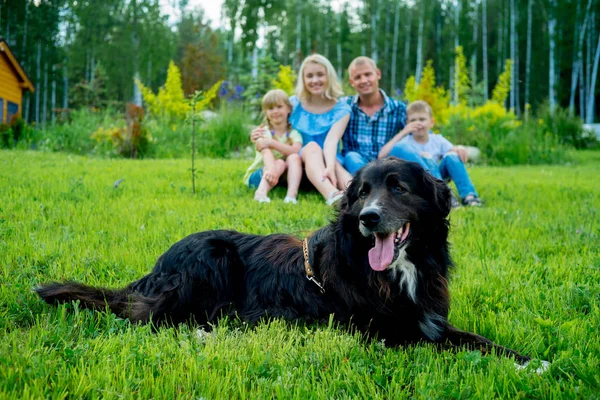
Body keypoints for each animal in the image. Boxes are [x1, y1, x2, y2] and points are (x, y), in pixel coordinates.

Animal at [35, 159, 528, 362]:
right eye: (361, 192)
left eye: (398, 188)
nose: (367, 219)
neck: (393, 270)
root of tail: (158, 267)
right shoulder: (385, 332)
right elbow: (444, 345)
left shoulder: (428, 317)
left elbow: (477, 340)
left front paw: (531, 361)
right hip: (211, 257)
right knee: (149, 316)